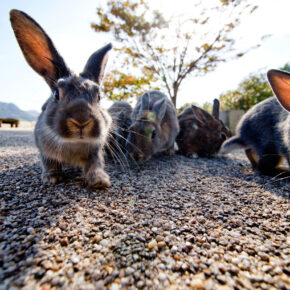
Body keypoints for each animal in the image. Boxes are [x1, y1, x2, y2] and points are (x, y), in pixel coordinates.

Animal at [10, 9, 112, 188]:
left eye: (98, 96)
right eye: (57, 94)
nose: (81, 121)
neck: (74, 143)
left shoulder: (95, 152)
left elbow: (95, 164)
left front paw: (100, 180)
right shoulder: (44, 150)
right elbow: (49, 162)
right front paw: (51, 178)